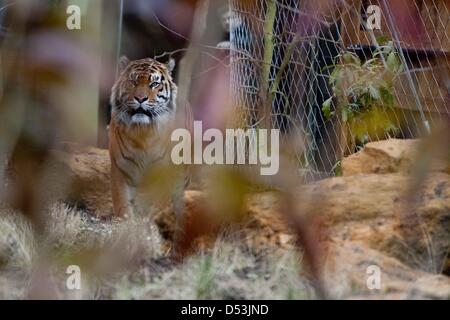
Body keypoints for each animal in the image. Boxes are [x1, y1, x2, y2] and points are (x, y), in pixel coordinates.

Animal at [108, 57, 178, 218]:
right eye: (133, 82)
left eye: (154, 84)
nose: (140, 98)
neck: (143, 131)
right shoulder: (120, 167)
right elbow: (121, 199)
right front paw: (125, 219)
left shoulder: (163, 170)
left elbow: (158, 202)